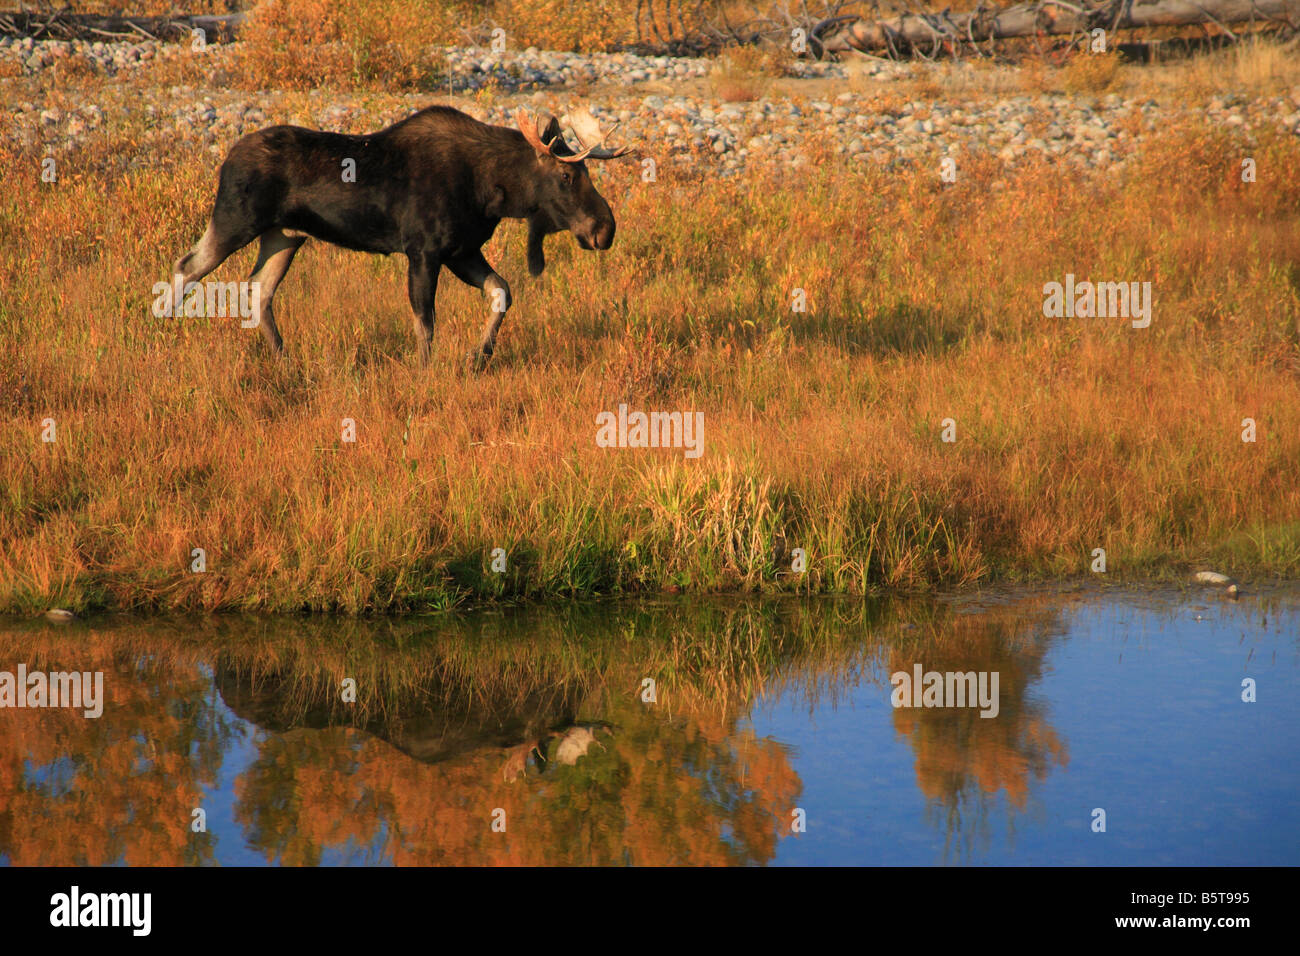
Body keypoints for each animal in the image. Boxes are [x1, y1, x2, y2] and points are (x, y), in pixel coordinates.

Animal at [171, 106, 629, 369]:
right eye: (566, 175)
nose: (604, 229)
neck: (492, 190)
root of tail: (226, 158)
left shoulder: (462, 251)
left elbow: (502, 291)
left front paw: (477, 356)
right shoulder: (424, 250)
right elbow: (425, 322)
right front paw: (426, 372)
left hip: (284, 235)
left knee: (259, 290)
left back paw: (285, 361)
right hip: (235, 219)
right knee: (186, 267)